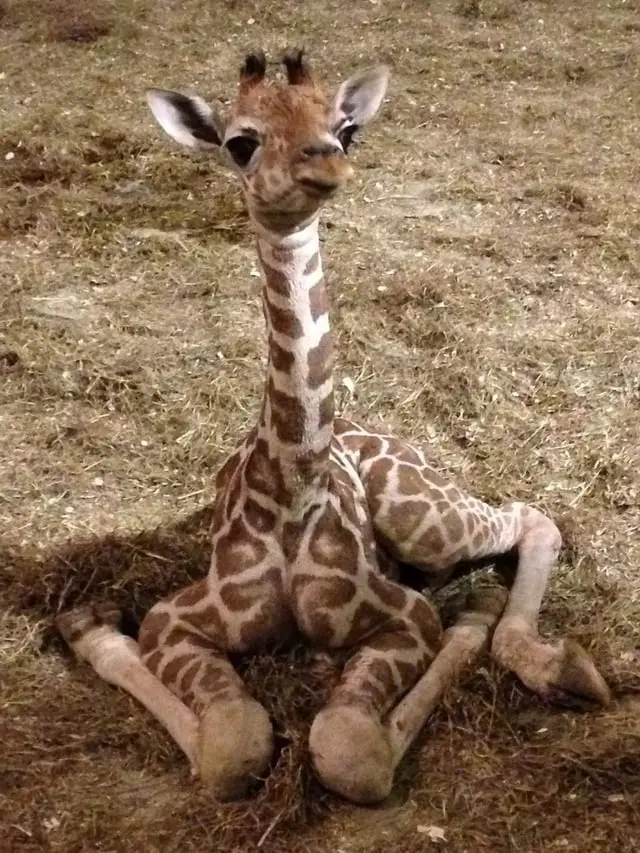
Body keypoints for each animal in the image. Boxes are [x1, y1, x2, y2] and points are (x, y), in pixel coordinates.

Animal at [56, 50, 610, 806]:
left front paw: (472, 624)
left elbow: (348, 745)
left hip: (425, 519)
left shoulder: (403, 615)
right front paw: (89, 626)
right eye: (241, 141)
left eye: (346, 128)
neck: (292, 481)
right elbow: (232, 746)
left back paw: (553, 661)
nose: (327, 165)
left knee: (530, 516)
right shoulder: (178, 620)